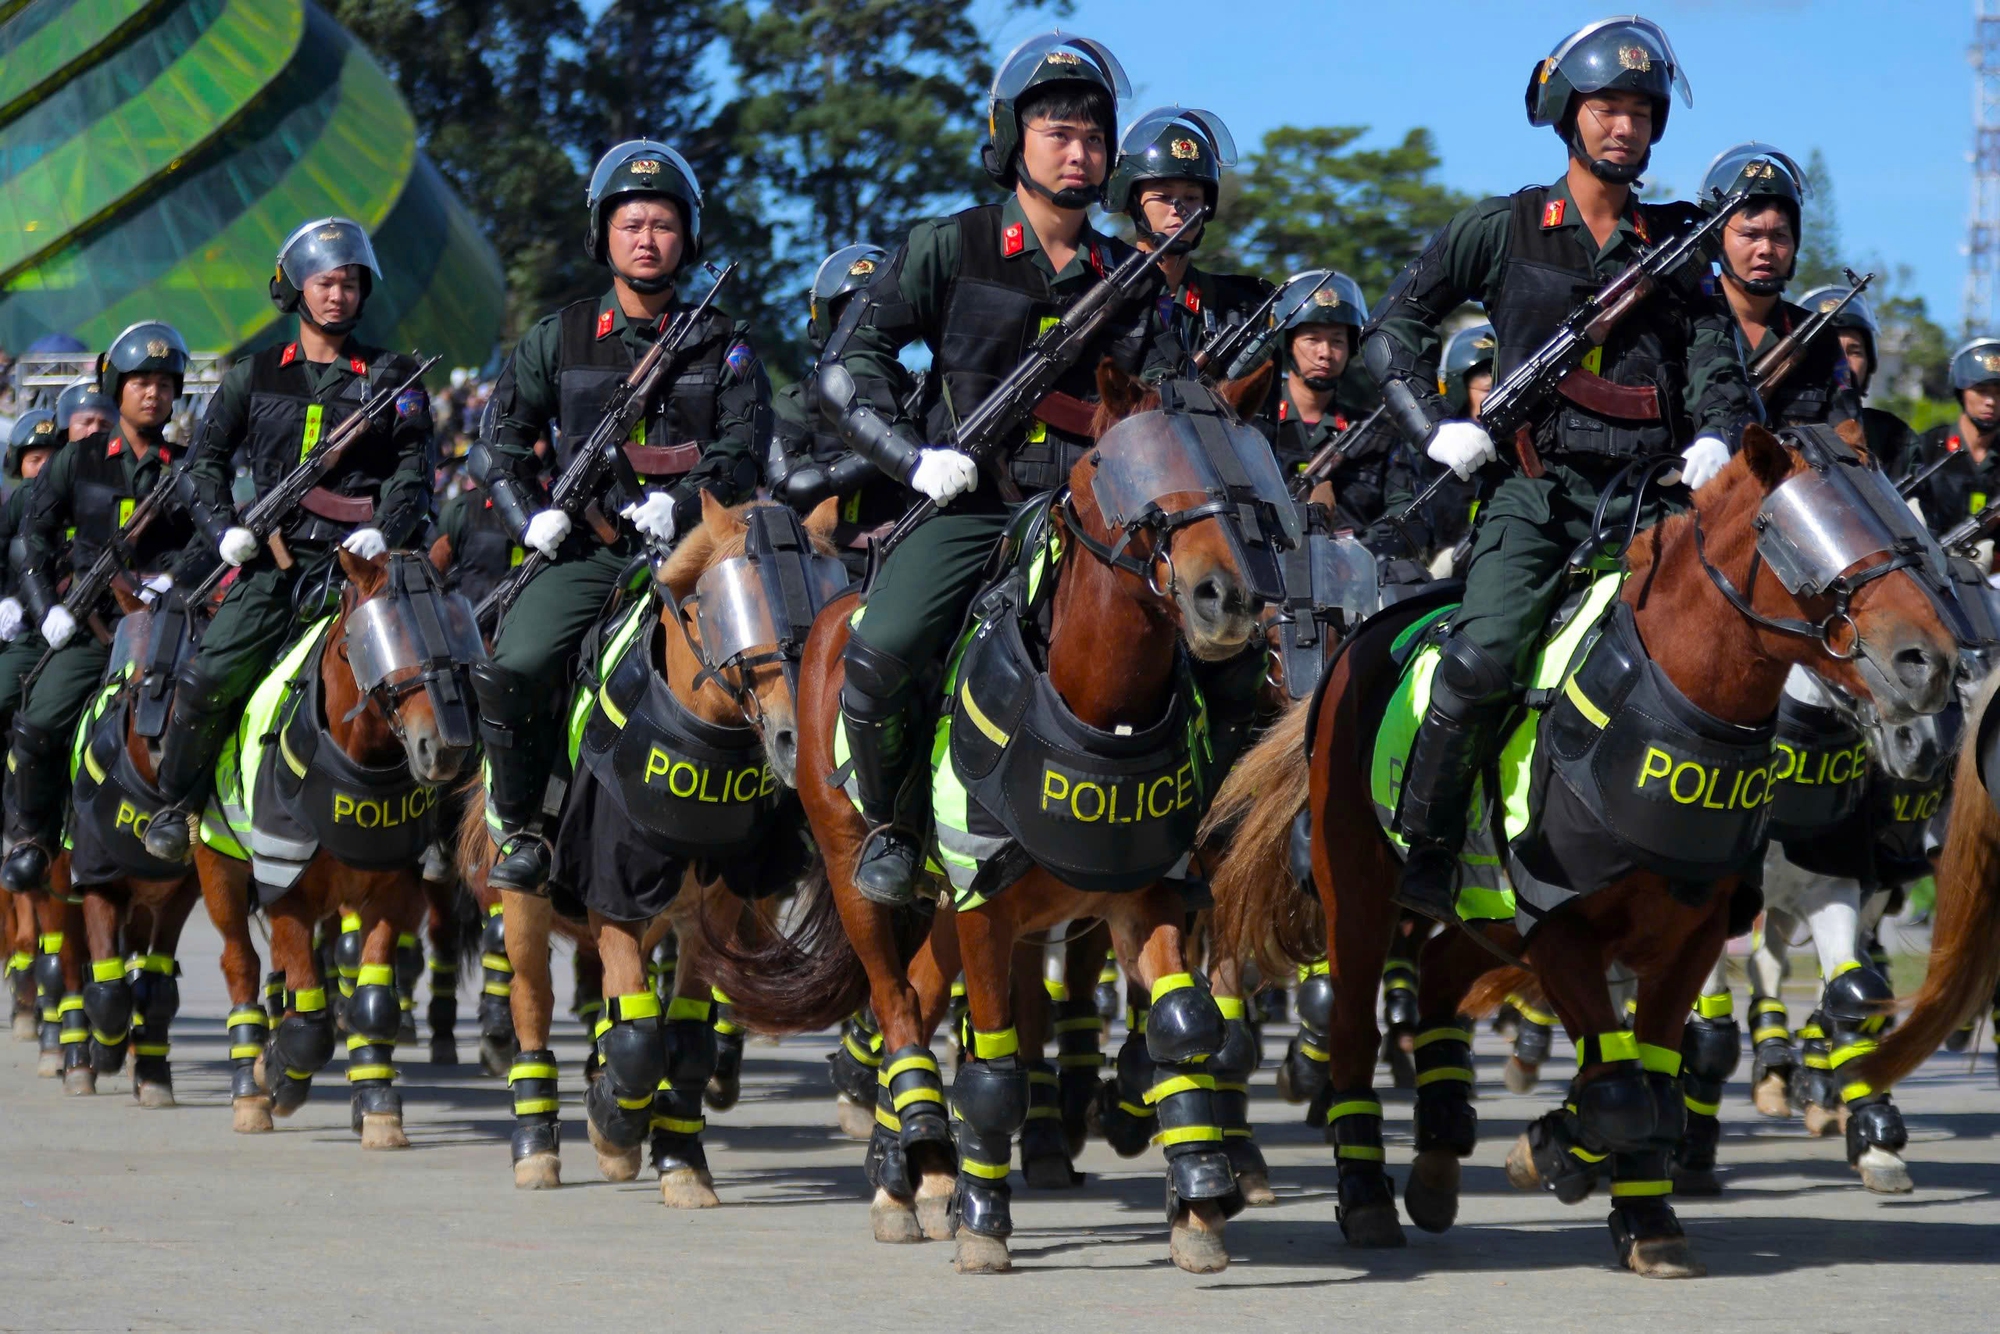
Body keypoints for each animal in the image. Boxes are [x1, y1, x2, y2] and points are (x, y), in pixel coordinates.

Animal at [194, 548, 476, 1144]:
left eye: (456, 627)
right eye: (382, 637)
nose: (442, 748)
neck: (358, 767)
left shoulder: (395, 893)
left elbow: (371, 1003)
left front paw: (377, 1103)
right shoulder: (285, 889)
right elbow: (311, 1021)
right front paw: (278, 1073)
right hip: (220, 873)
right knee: (240, 964)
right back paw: (249, 1086)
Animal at [458, 494, 832, 1200]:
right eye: (730, 607)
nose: (795, 738)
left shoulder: (715, 911)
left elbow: (684, 1038)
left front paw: (679, 1159)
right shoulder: (612, 891)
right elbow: (639, 1041)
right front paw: (611, 1123)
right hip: (525, 902)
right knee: (533, 1002)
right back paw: (535, 1143)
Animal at [712, 362, 1280, 1272]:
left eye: (1243, 467)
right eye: (1118, 468)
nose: (1224, 599)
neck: (1098, 710)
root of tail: (835, 617)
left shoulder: (1141, 898)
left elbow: (1182, 1023)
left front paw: (1198, 1198)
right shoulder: (986, 910)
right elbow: (993, 1075)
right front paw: (985, 1218)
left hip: (949, 908)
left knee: (917, 994)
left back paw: (912, 1170)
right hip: (862, 876)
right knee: (897, 1008)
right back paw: (919, 1164)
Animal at [1200, 422, 1952, 1280]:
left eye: (1901, 525)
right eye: (1806, 535)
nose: (1930, 663)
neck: (1674, 702)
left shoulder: (1694, 933)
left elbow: (1650, 1084)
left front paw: (1637, 1208)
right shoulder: (1556, 924)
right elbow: (1622, 1093)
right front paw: (1562, 1155)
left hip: (1481, 913)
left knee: (1438, 978)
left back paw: (1441, 1148)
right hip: (1359, 894)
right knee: (1355, 1025)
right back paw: (1365, 1193)